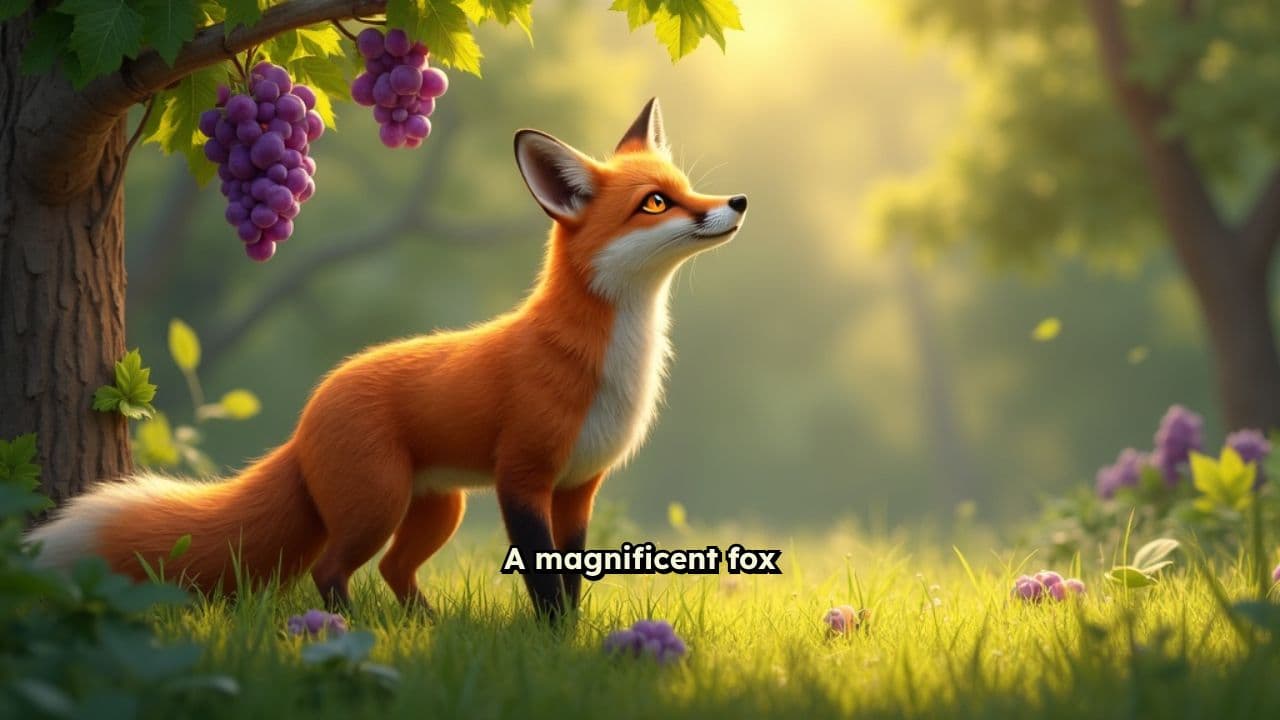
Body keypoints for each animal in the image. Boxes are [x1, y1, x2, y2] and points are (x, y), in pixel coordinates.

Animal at [26, 98, 747, 619]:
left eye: (687, 188)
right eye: (655, 203)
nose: (737, 202)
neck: (608, 362)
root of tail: (306, 416)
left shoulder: (577, 488)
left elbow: (566, 583)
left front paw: (572, 642)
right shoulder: (523, 477)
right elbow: (543, 587)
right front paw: (553, 646)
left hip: (437, 509)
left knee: (395, 570)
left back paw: (424, 625)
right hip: (377, 505)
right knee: (333, 570)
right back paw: (348, 628)